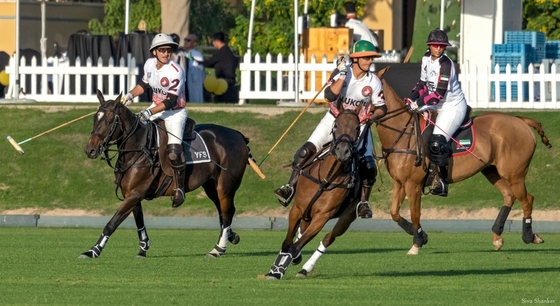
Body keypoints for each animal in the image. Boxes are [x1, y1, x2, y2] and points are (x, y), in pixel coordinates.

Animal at [79, 90, 252, 258]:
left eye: (109, 121)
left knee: (227, 212)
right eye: (95, 118)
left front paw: (93, 251)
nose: (90, 150)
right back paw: (231, 236)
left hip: (225, 186)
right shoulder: (131, 193)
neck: (139, 149)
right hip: (210, 186)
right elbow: (139, 221)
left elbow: (112, 223)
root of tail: (239, 135)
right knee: (223, 212)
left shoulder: (135, 193)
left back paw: (217, 249)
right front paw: (143, 248)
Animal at [266, 103, 366, 280]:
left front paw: (279, 270)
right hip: (307, 212)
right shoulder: (297, 208)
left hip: (347, 217)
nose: (342, 151)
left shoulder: (322, 216)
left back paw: (305, 269)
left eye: (357, 128)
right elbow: (287, 243)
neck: (326, 178)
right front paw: (275, 270)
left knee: (327, 239)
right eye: (336, 125)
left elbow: (295, 246)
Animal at [374, 67, 548, 256]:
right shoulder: (400, 182)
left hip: (515, 174)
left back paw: (530, 236)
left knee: (527, 199)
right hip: (491, 170)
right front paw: (422, 236)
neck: (403, 133)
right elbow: (394, 212)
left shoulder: (413, 183)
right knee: (510, 196)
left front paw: (417, 243)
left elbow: (415, 214)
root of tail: (520, 120)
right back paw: (497, 238)